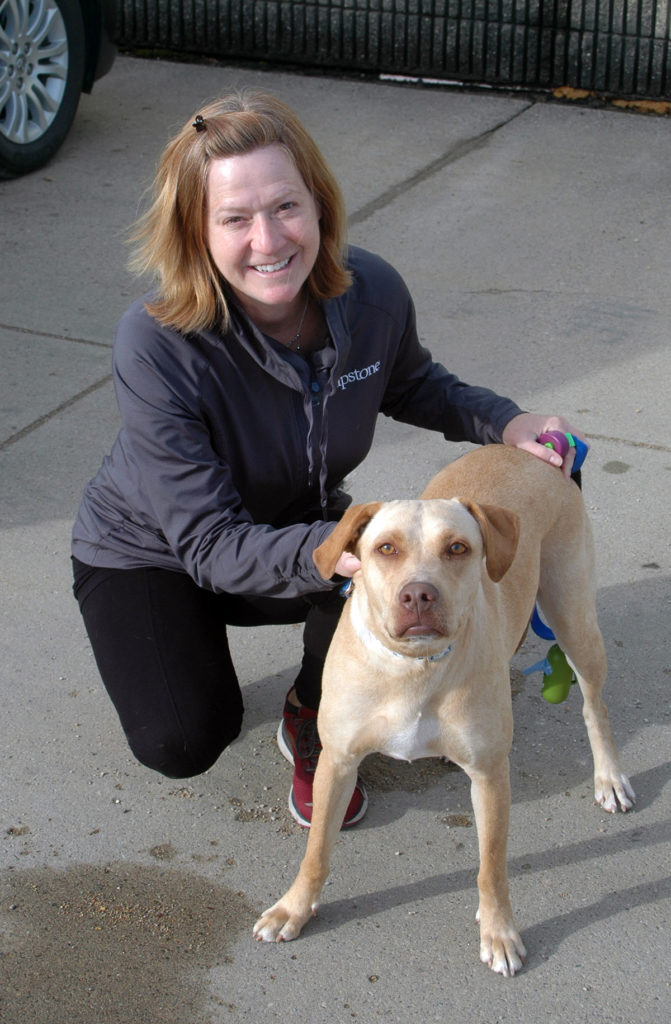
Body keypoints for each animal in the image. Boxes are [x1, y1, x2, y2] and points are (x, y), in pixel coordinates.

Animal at [253, 448, 635, 974]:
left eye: (457, 548)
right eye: (386, 548)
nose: (418, 594)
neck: (413, 669)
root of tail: (528, 449)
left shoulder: (491, 775)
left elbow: (491, 866)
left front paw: (499, 931)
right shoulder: (338, 762)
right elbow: (316, 852)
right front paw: (293, 907)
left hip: (574, 619)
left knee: (595, 707)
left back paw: (609, 777)